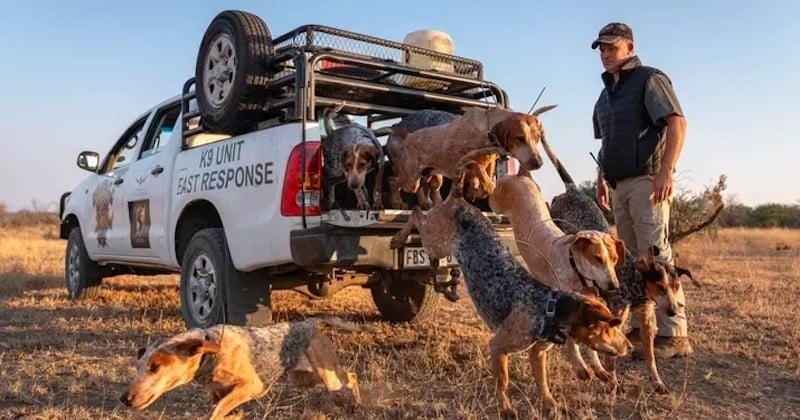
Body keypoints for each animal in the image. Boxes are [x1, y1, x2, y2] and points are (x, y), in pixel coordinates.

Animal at [117, 318, 374, 420]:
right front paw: (235, 415)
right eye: (139, 367)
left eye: (155, 367)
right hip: (303, 378)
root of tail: (309, 323)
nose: (125, 398)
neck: (211, 353)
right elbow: (222, 406)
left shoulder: (253, 386)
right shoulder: (219, 391)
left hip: (328, 377)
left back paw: (359, 403)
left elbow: (217, 410)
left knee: (351, 375)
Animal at [390, 105, 552, 207]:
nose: (538, 163)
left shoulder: (490, 160)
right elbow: (477, 167)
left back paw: (429, 203)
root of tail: (408, 136)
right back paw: (397, 201)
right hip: (411, 180)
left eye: (537, 138)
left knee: (426, 187)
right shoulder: (459, 157)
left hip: (431, 176)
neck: (485, 132)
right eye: (519, 138)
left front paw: (476, 191)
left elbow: (483, 176)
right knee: (394, 181)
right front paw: (486, 186)